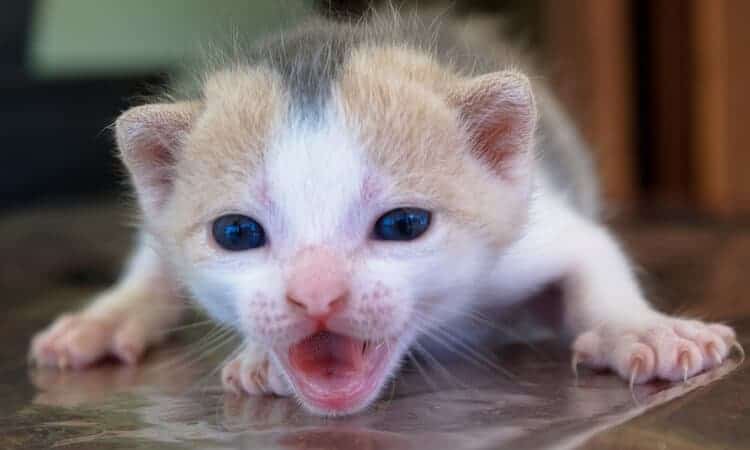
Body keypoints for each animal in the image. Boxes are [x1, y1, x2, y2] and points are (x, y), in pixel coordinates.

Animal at [29, 12, 740, 416]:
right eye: (236, 233)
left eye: (403, 225)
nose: (317, 295)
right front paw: (260, 357)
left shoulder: (534, 229)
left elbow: (596, 256)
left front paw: (644, 331)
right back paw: (107, 318)